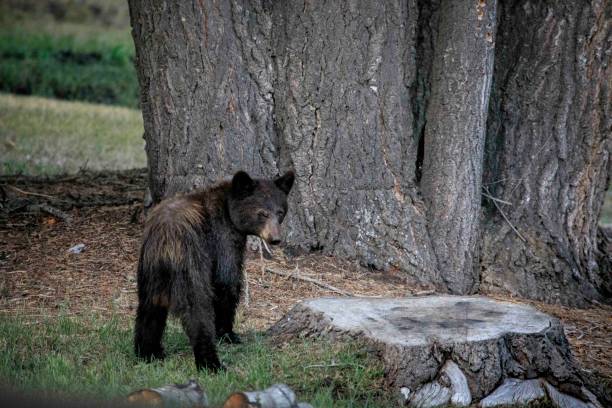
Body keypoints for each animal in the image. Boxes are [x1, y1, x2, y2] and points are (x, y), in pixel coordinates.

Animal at [134, 169, 296, 370]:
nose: (275, 239)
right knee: (197, 307)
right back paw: (210, 362)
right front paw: (228, 334)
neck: (228, 209)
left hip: (149, 269)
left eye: (280, 212)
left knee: (149, 308)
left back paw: (148, 352)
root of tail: (166, 239)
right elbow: (227, 281)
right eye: (262, 213)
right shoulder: (222, 238)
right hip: (190, 260)